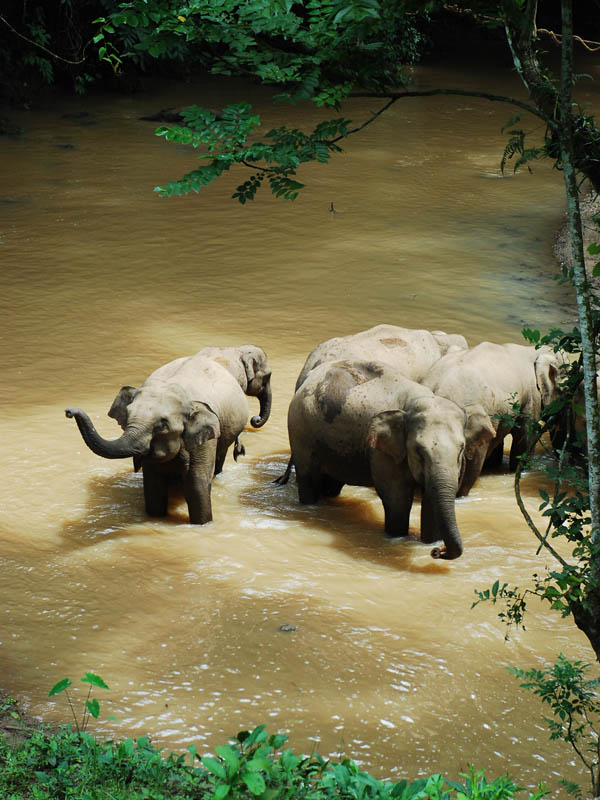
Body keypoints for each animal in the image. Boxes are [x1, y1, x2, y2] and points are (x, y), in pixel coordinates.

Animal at [64, 346, 270, 524]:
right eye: (127, 417)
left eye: (162, 425)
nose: (68, 411)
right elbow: (153, 485)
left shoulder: (205, 439)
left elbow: (196, 484)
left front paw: (203, 523)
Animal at [288, 360, 494, 560]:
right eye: (419, 451)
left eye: (461, 450)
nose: (438, 552)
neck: (416, 400)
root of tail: (310, 376)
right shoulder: (381, 452)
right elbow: (396, 497)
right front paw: (398, 537)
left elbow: (430, 498)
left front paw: (429, 542)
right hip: (300, 430)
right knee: (308, 478)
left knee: (332, 483)